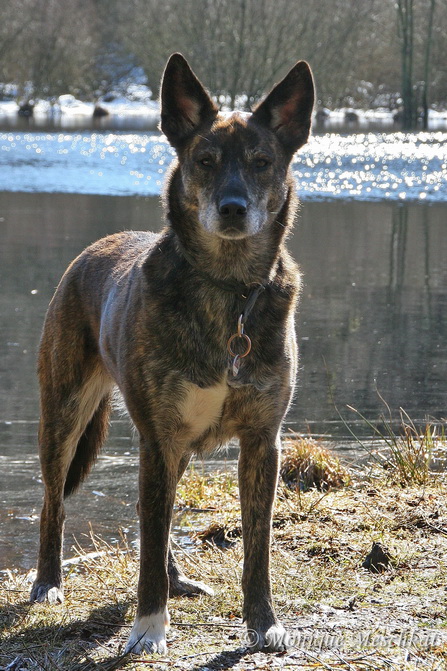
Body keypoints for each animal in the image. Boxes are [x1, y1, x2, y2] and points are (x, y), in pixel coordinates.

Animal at [29, 53, 316, 656]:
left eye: (262, 163)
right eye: (204, 161)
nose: (232, 209)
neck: (229, 291)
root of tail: (97, 245)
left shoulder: (262, 441)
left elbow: (257, 548)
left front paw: (263, 624)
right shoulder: (157, 437)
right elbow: (150, 532)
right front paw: (148, 627)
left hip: (175, 448)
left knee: (155, 518)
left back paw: (176, 577)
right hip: (64, 417)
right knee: (54, 504)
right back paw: (48, 582)